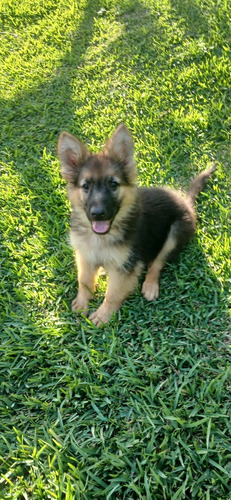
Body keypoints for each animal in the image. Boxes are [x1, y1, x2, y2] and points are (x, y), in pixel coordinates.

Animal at [57, 125, 217, 326]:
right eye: (86, 186)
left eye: (113, 184)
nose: (98, 214)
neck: (102, 236)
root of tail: (187, 203)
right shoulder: (85, 255)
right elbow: (84, 280)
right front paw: (82, 302)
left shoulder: (126, 265)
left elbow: (112, 294)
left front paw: (103, 315)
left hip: (175, 233)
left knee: (156, 263)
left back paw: (150, 285)